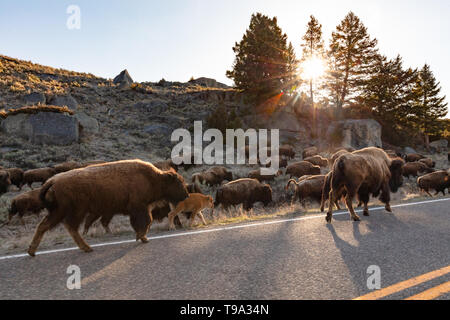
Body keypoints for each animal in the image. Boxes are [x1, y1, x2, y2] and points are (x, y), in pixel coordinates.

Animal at [26, 160, 188, 258]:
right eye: (179, 182)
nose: (186, 195)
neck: (154, 178)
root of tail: (52, 180)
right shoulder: (139, 207)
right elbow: (146, 222)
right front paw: (142, 237)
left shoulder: (141, 209)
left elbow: (145, 222)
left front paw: (142, 237)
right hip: (70, 211)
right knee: (68, 227)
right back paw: (87, 248)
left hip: (61, 212)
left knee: (47, 226)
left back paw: (32, 251)